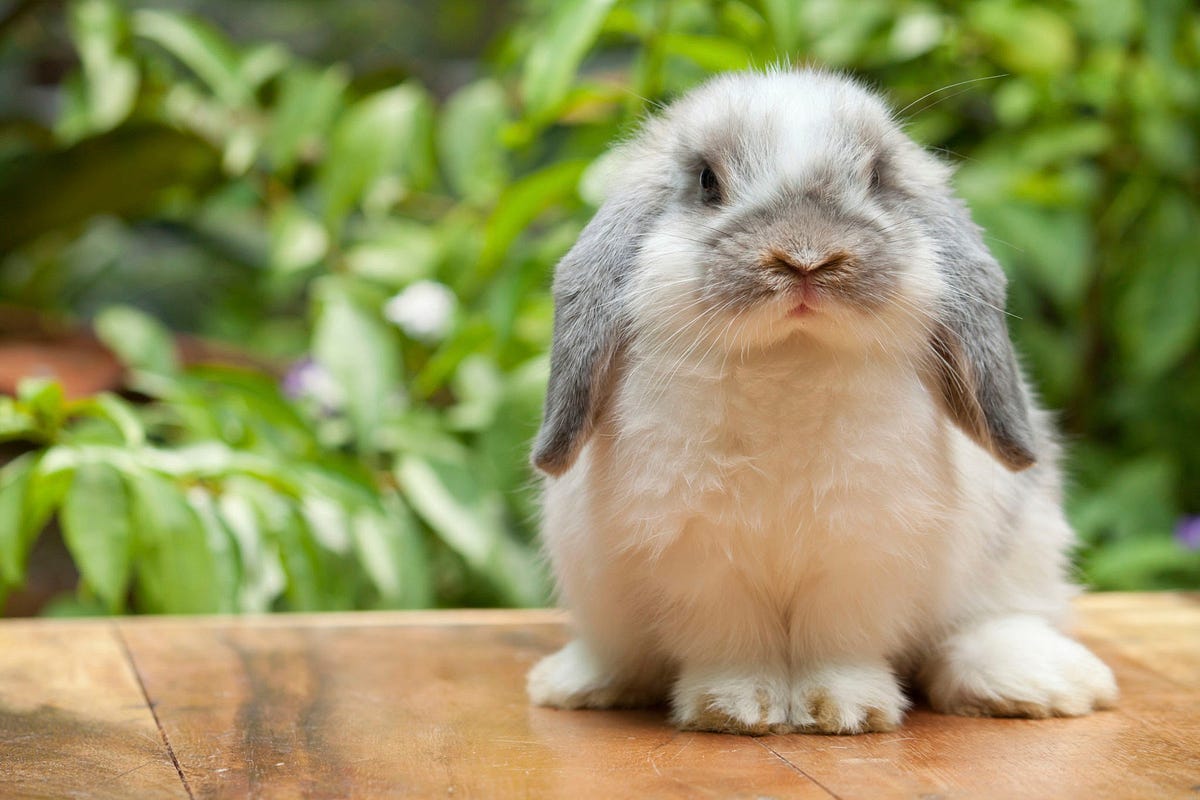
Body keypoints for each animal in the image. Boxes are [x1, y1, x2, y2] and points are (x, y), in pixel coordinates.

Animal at [526, 67, 1117, 735]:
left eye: (878, 178)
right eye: (707, 181)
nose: (806, 257)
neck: (789, 360)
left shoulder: (862, 552)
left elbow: (838, 642)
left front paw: (843, 710)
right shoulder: (700, 560)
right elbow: (731, 642)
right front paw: (736, 709)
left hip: (1022, 550)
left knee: (991, 625)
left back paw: (1040, 683)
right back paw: (577, 683)